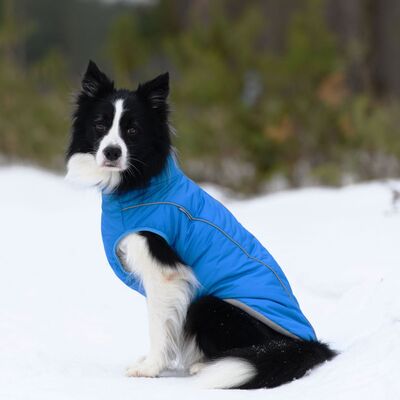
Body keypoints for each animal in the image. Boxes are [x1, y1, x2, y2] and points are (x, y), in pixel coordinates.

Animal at [65, 61, 334, 390]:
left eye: (132, 129)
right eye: (100, 125)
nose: (112, 152)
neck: (142, 182)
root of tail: (304, 345)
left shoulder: (166, 273)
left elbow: (158, 325)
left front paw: (151, 368)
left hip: (209, 304)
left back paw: (205, 367)